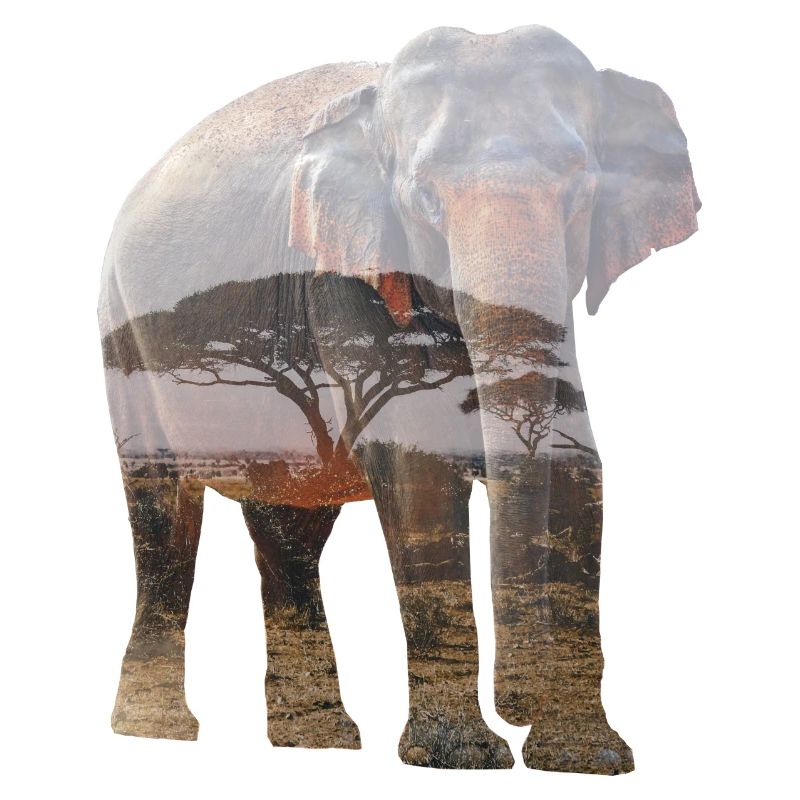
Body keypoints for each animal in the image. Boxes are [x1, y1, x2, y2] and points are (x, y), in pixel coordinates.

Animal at [99, 24, 700, 773]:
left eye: (583, 192)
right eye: (425, 204)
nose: (519, 709)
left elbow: (576, 464)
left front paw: (589, 760)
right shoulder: (342, 278)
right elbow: (417, 474)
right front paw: (464, 758)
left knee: (289, 527)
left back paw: (318, 741)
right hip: (125, 341)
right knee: (162, 512)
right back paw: (159, 732)